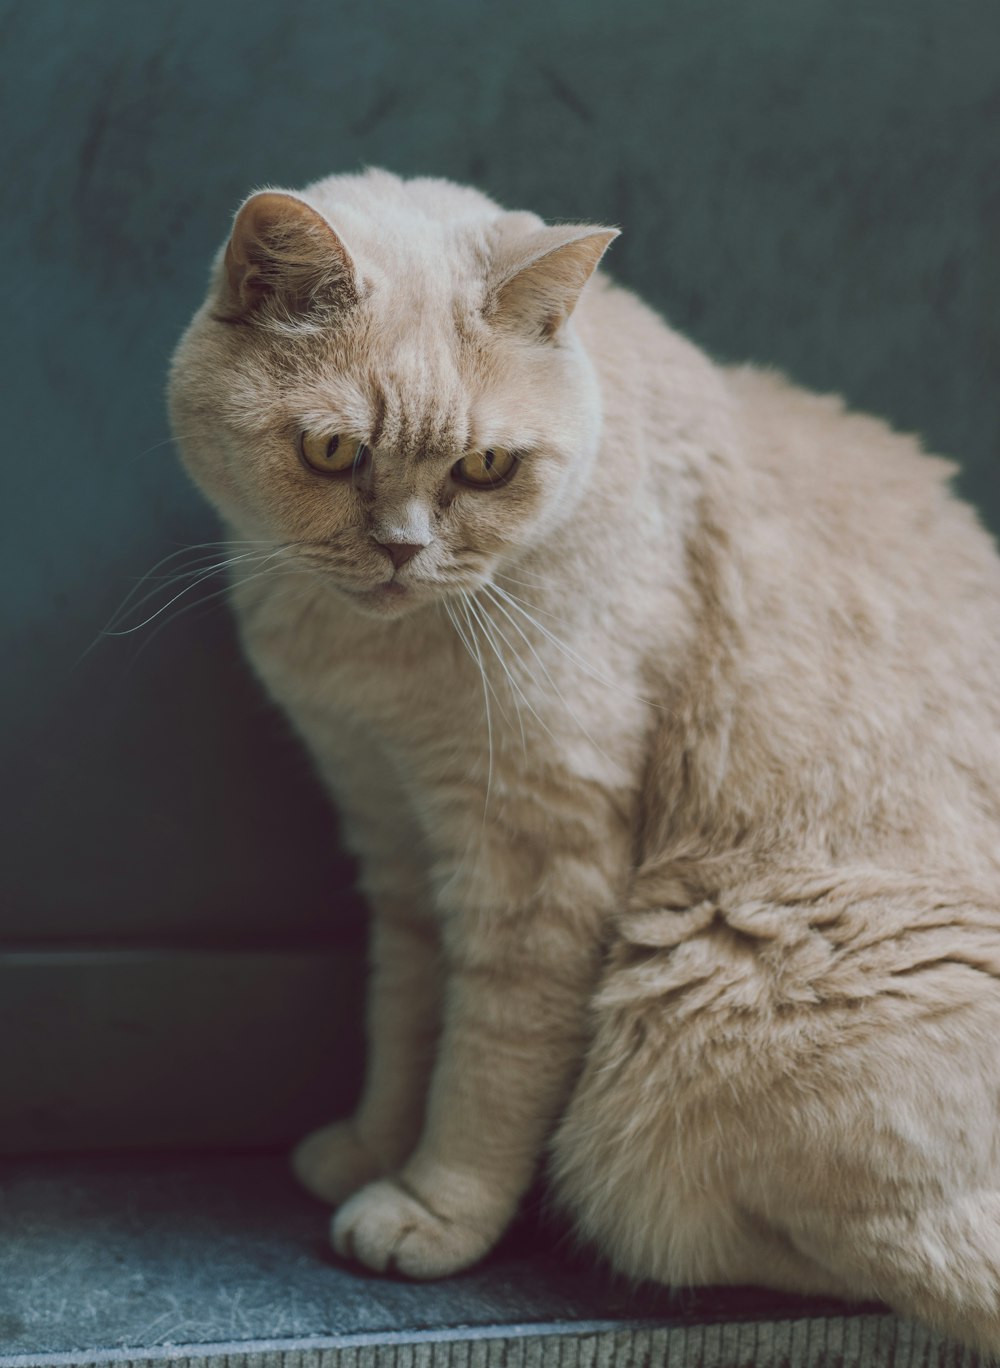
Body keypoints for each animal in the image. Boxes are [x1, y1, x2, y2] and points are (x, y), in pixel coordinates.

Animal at [168, 171, 1000, 1357]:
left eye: (485, 467)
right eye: (332, 452)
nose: (403, 549)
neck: (378, 673)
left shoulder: (535, 857)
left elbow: (486, 1066)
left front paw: (429, 1207)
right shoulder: (397, 838)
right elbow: (405, 1020)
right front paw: (374, 1147)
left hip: (690, 1010)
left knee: (780, 1243)